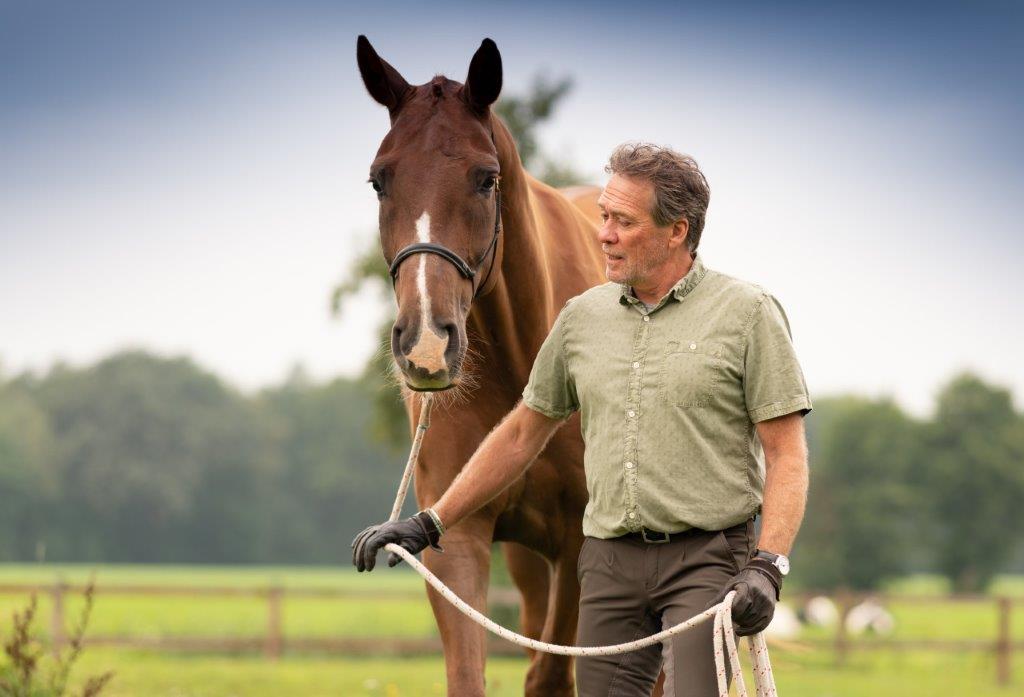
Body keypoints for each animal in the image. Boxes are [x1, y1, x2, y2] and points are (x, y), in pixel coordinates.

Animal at [356, 36, 606, 696]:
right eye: (379, 180)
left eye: (485, 179)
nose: (424, 342)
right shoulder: (458, 537)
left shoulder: (580, 544)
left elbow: (551, 676)